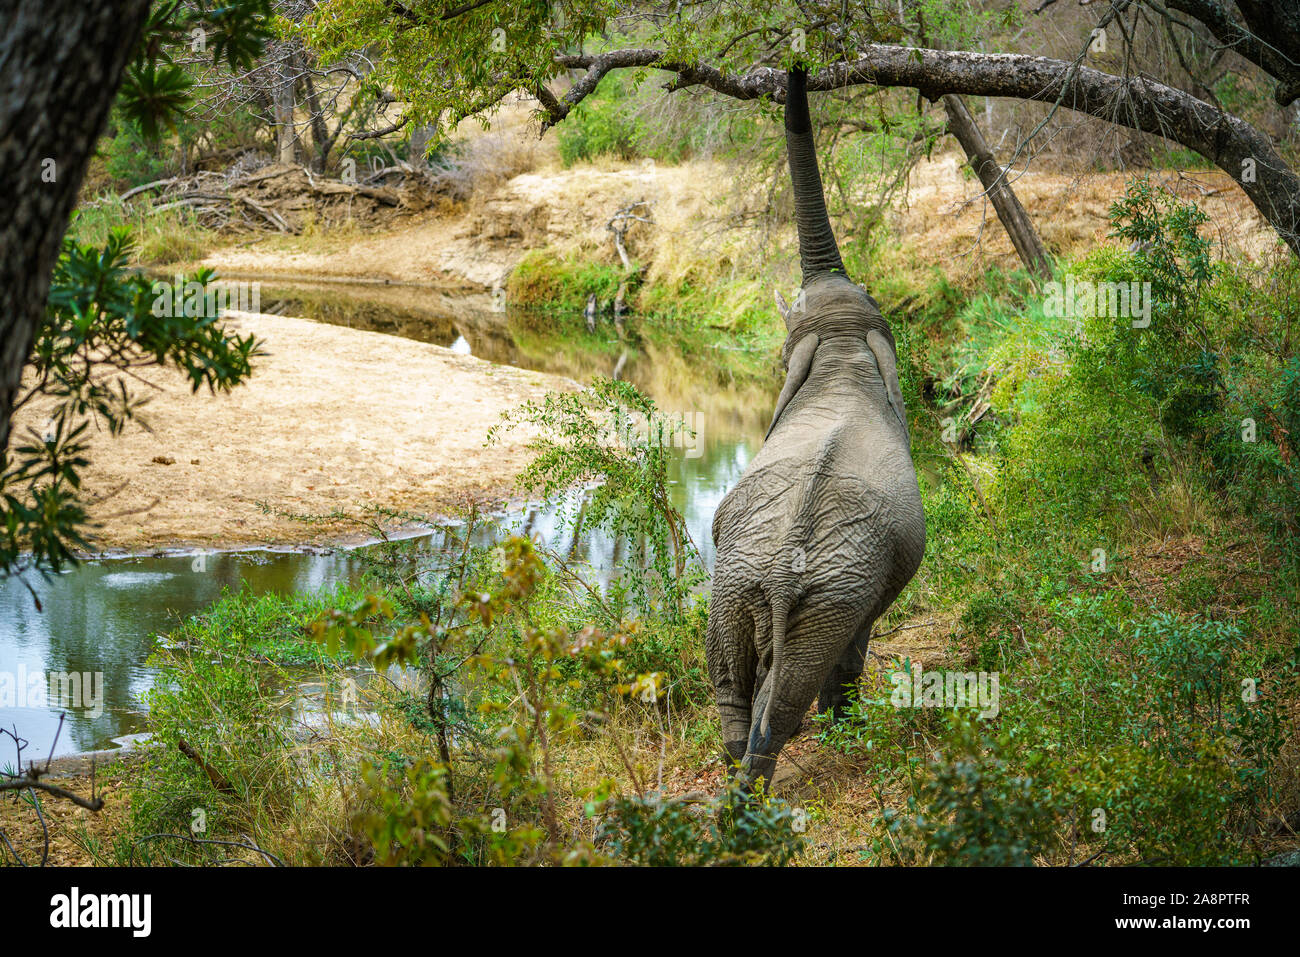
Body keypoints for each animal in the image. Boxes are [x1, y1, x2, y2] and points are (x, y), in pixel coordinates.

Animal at [707, 69, 930, 785]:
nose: (796, 71)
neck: (840, 352)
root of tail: (780, 578)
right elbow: (857, 646)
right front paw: (845, 727)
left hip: (756, 591)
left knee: (737, 687)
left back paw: (745, 776)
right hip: (815, 598)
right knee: (777, 696)